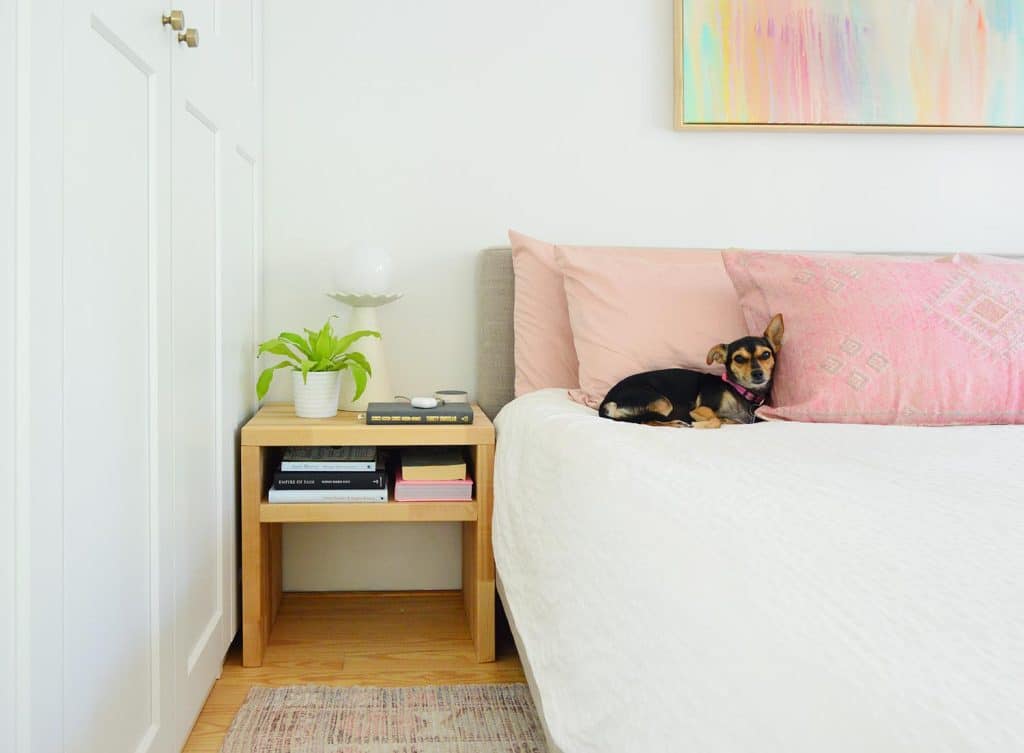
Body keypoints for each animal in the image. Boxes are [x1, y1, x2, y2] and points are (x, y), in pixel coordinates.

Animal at [598, 313, 782, 430]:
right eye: (739, 359)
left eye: (766, 354)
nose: (758, 373)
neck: (740, 392)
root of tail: (606, 401)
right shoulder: (700, 409)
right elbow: (715, 420)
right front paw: (700, 424)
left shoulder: (739, 421)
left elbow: (724, 420)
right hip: (662, 403)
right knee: (645, 420)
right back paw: (677, 423)